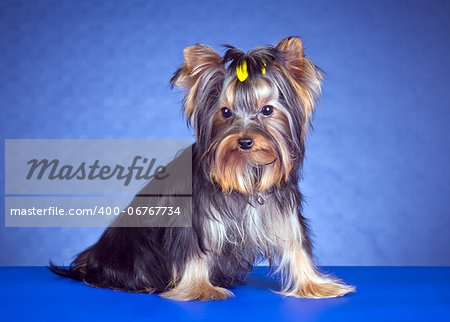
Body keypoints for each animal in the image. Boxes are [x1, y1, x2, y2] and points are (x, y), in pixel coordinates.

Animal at [50, 36, 356, 300]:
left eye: (267, 110)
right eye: (225, 112)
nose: (245, 141)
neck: (246, 173)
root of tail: (90, 259)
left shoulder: (282, 210)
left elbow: (296, 245)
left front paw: (315, 285)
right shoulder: (194, 219)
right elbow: (194, 251)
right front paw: (200, 289)